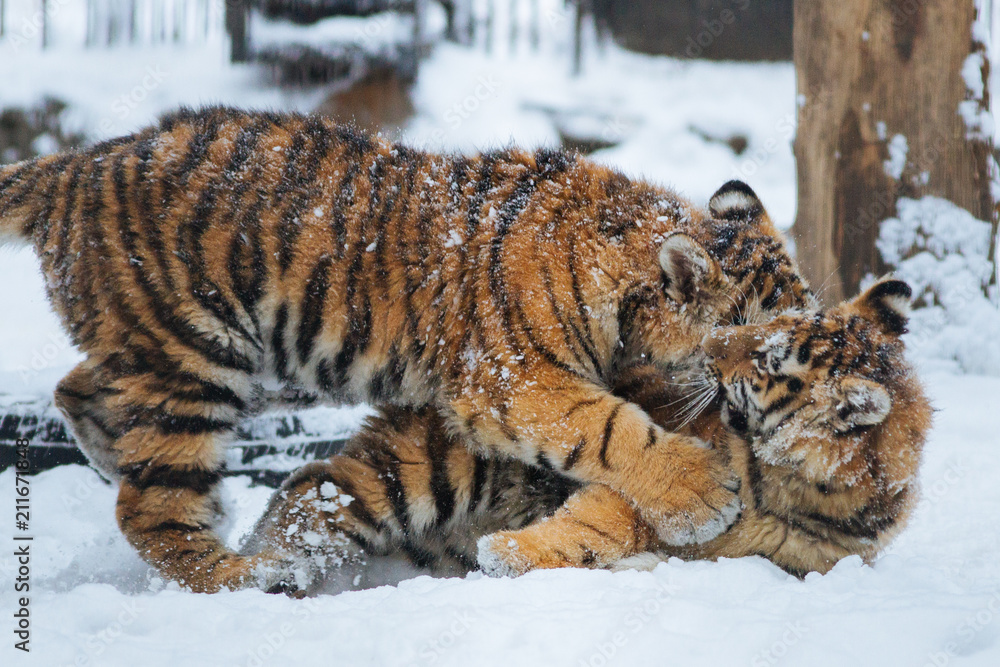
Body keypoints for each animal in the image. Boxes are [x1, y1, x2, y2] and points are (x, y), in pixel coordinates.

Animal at [0, 106, 812, 593]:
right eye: (766, 345)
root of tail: (73, 165)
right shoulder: (513, 381)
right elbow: (609, 428)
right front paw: (701, 492)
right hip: (193, 359)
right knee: (150, 507)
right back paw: (242, 578)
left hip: (233, 363)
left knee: (79, 390)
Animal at [246, 278, 928, 593]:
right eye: (765, 325)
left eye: (766, 358)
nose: (709, 345)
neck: (800, 485)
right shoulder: (660, 488)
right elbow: (595, 525)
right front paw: (507, 554)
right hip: (428, 469)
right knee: (310, 492)